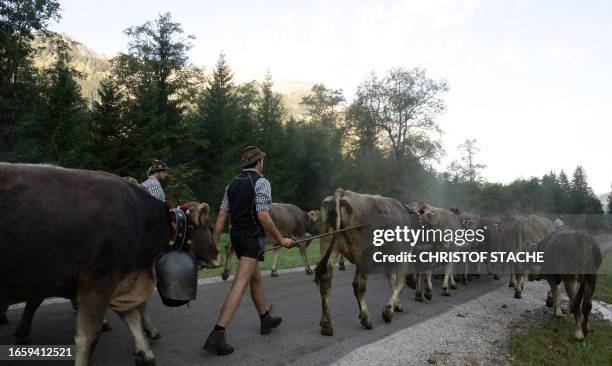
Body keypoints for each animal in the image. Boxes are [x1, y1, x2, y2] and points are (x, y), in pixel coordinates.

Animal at [0, 165, 220, 366]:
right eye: (209, 227)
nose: (217, 255)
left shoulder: (122, 280)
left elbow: (131, 316)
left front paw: (145, 352)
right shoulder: (99, 279)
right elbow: (87, 337)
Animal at [316, 189, 416, 334]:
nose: (413, 285)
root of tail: (343, 192)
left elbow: (391, 280)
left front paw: (396, 305)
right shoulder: (401, 254)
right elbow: (399, 283)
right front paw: (389, 310)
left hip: (329, 244)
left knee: (326, 281)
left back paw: (326, 325)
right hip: (365, 254)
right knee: (360, 285)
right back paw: (366, 319)